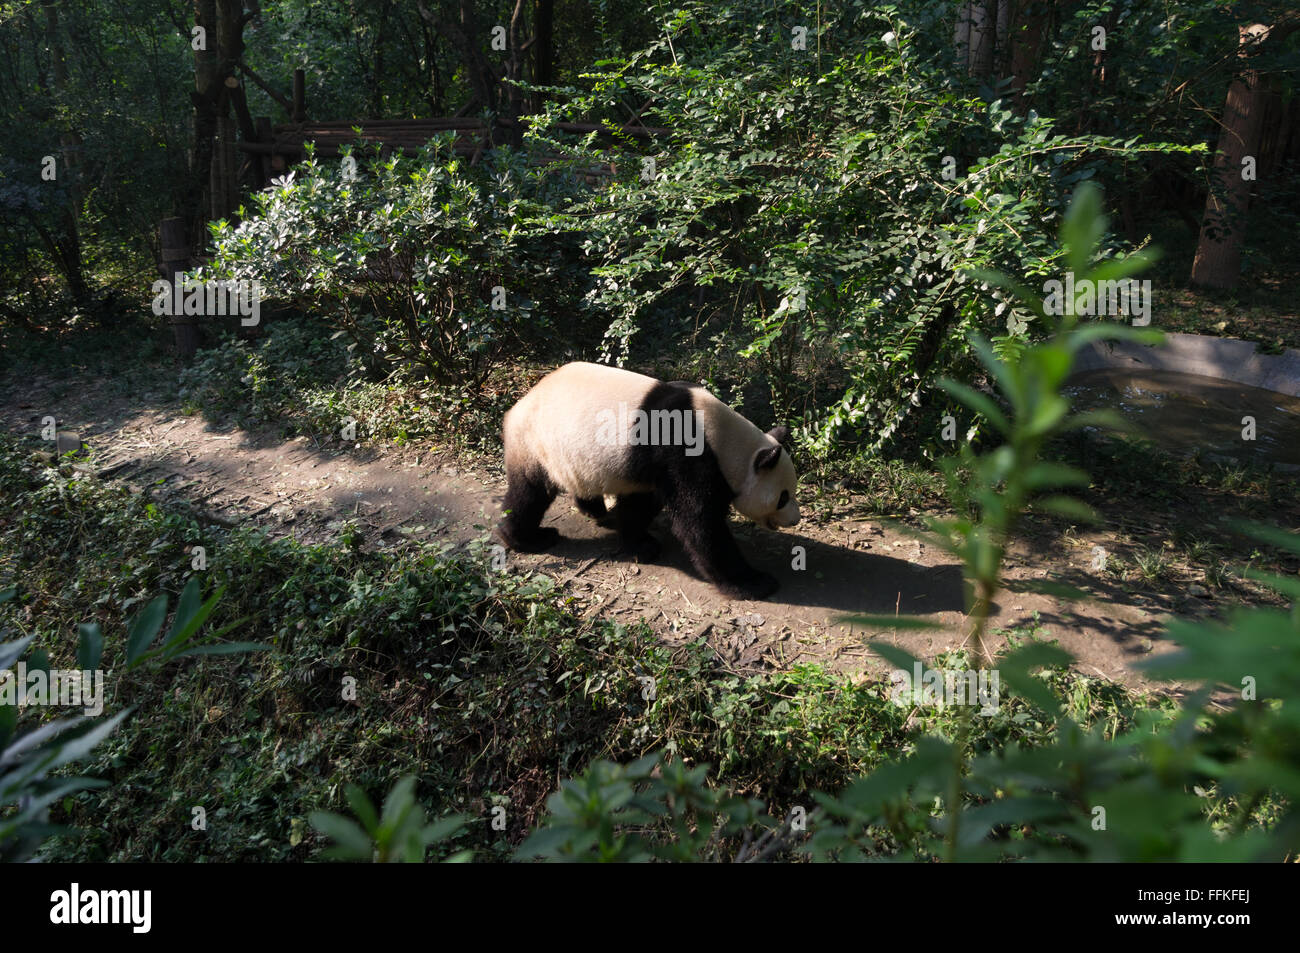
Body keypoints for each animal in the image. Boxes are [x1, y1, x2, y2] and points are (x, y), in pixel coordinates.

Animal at [496, 361, 800, 598]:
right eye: (783, 496)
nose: (795, 519)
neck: (723, 440)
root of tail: (517, 407)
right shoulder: (686, 453)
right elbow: (699, 522)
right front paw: (754, 582)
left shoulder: (648, 466)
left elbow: (640, 504)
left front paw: (639, 543)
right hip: (535, 442)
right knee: (529, 494)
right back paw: (527, 538)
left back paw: (594, 509)